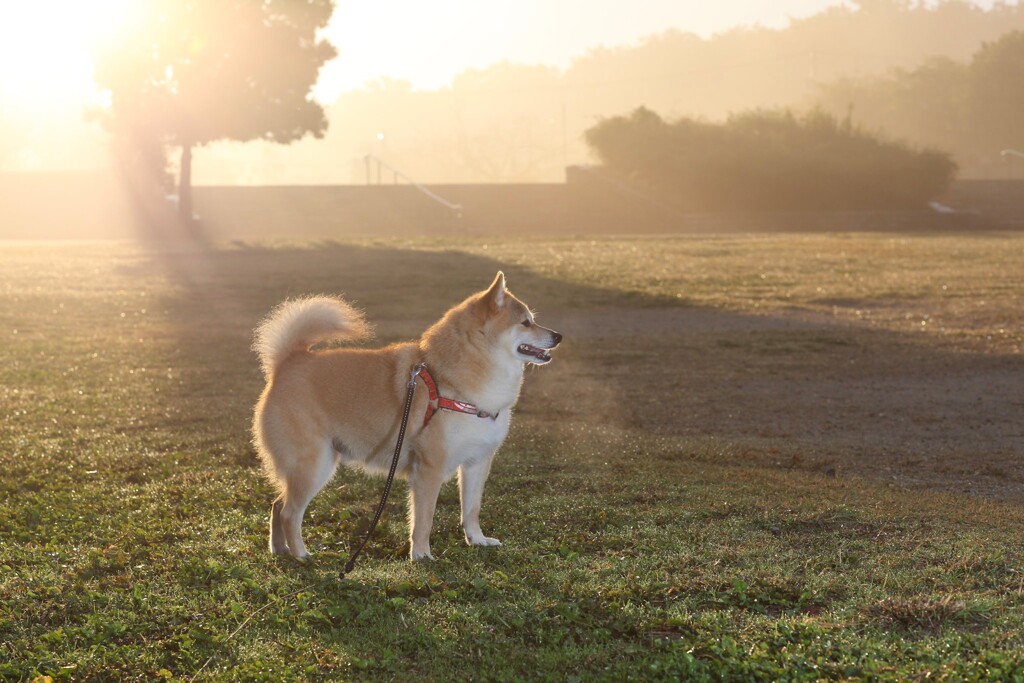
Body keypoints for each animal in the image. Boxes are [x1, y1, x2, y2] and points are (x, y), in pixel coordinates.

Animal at [252, 270, 565, 561]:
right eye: (525, 322)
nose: (558, 336)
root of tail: (289, 362)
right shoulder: (429, 468)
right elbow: (424, 520)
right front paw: (422, 555)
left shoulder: (477, 462)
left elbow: (472, 509)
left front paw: (477, 540)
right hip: (314, 465)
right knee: (290, 513)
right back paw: (301, 555)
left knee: (277, 505)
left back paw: (280, 549)